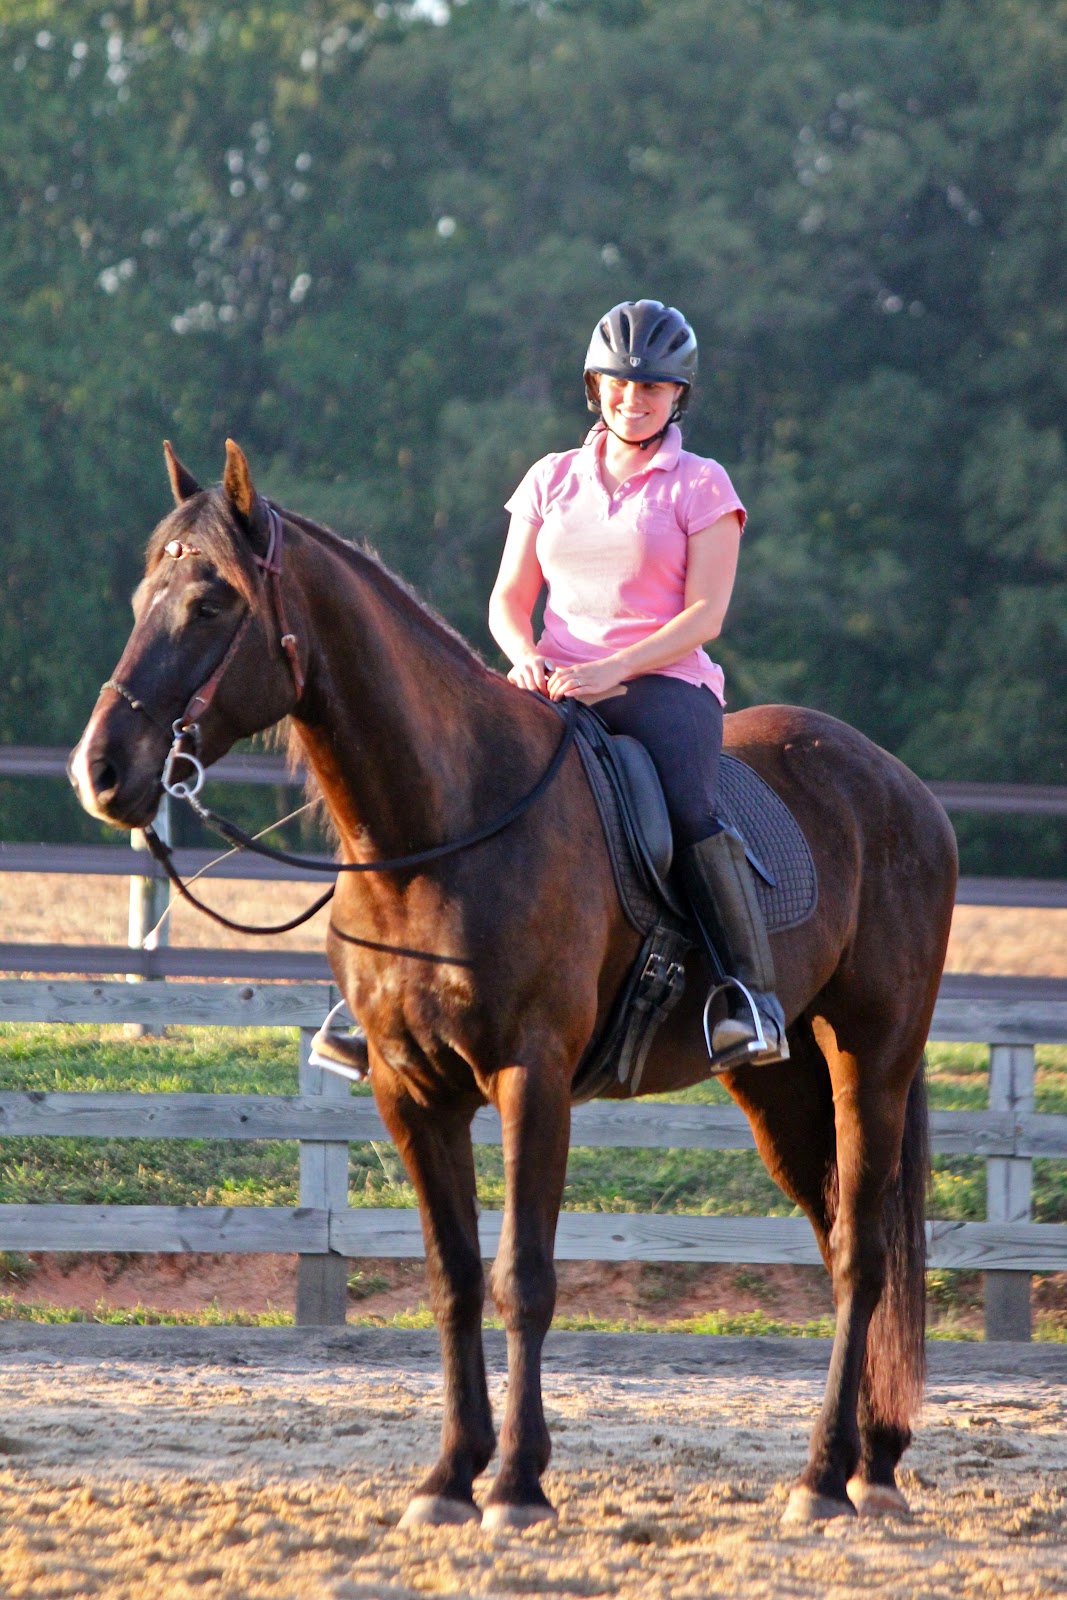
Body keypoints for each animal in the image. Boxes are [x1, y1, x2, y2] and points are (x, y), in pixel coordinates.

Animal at [70, 440, 957, 1531]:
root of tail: (900, 786)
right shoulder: (412, 1093)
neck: (441, 830)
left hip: (870, 1061)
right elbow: (452, 1279)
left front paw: (518, 1485)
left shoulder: (529, 1078)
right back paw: (864, 1461)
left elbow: (522, 1277)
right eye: (141, 597)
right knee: (838, 1240)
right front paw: (449, 1476)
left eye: (209, 603)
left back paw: (824, 1476)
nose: (102, 772)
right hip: (777, 1084)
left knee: (860, 1256)